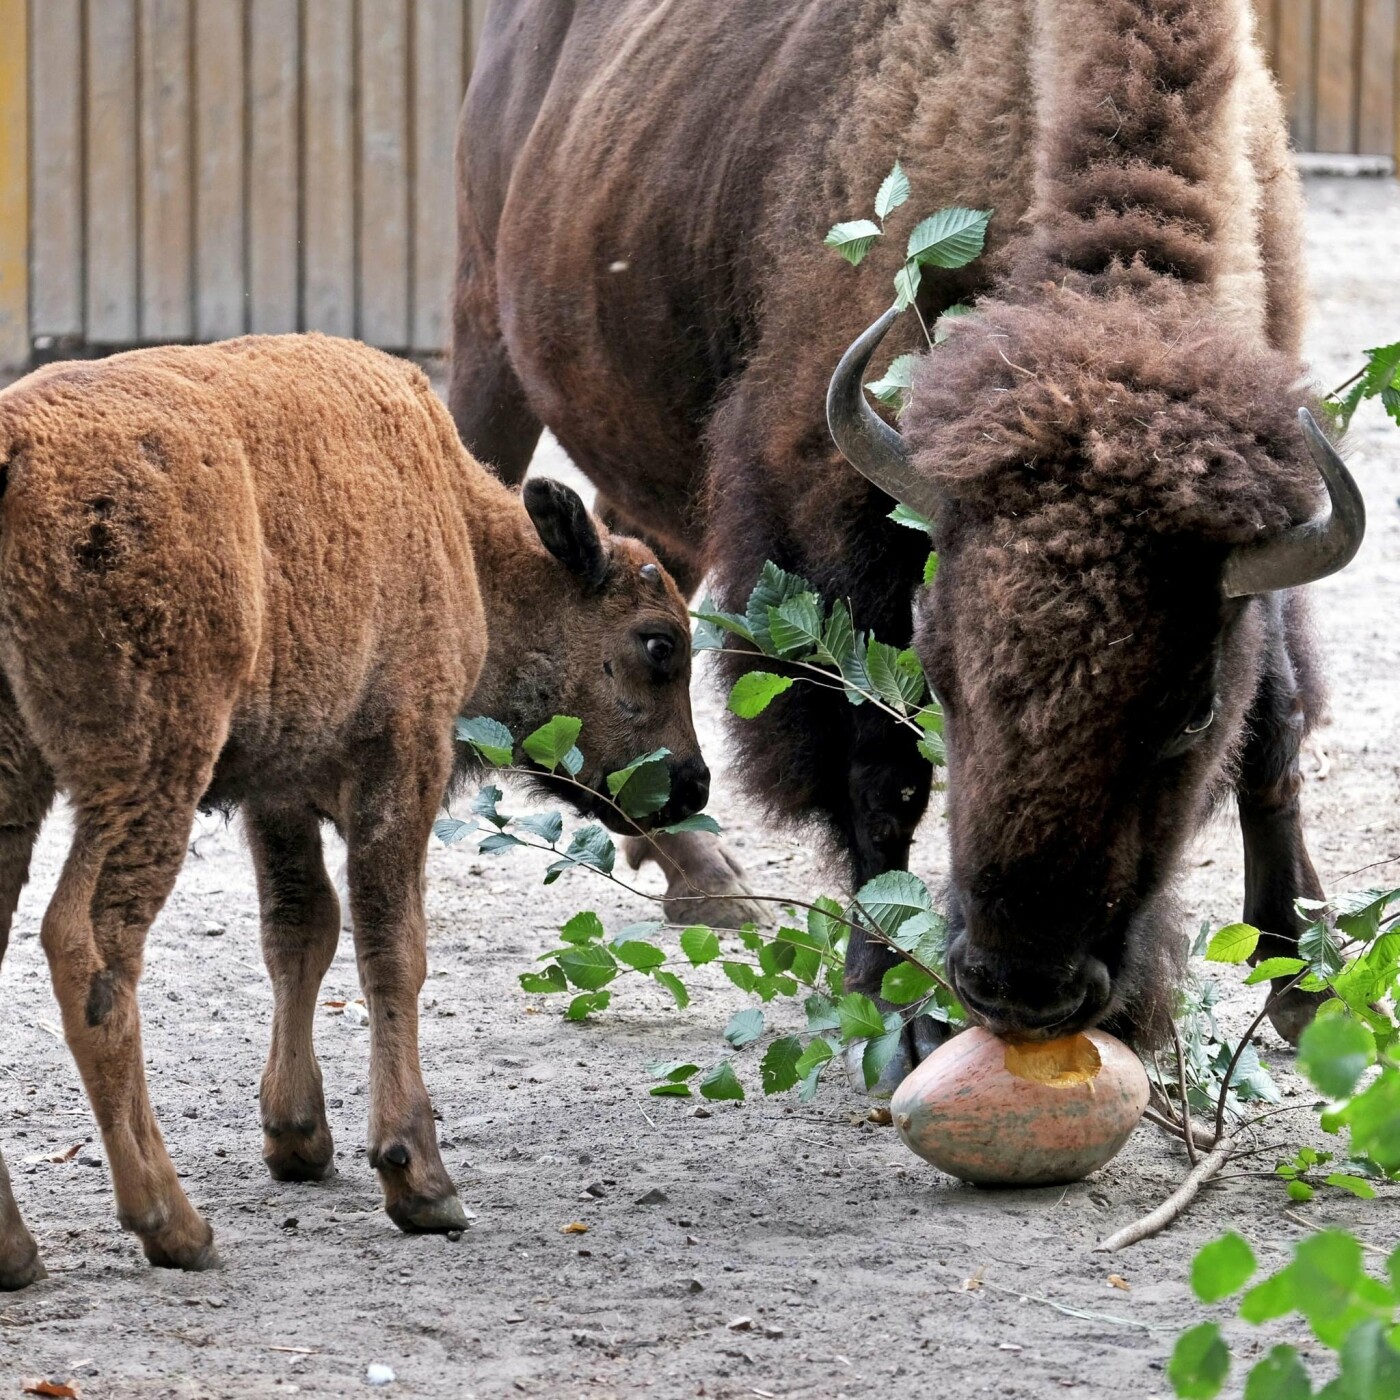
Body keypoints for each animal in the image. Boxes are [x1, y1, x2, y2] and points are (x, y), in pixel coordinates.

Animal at [0, 330, 705, 1288]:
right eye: (658, 645)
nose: (694, 786)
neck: (462, 531)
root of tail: (18, 454)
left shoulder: (277, 789)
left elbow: (302, 931)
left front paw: (299, 1139)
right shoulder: (402, 759)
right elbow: (391, 947)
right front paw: (421, 1181)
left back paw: (16, 1248)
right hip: (149, 770)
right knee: (93, 950)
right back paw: (175, 1227)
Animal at [450, 0, 1366, 1064]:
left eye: (1188, 710)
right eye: (943, 673)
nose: (1023, 988)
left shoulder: (1269, 543)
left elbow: (1277, 724)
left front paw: (1303, 979)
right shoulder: (836, 539)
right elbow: (877, 767)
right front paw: (886, 998)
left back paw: (696, 875)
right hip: (486, 345)